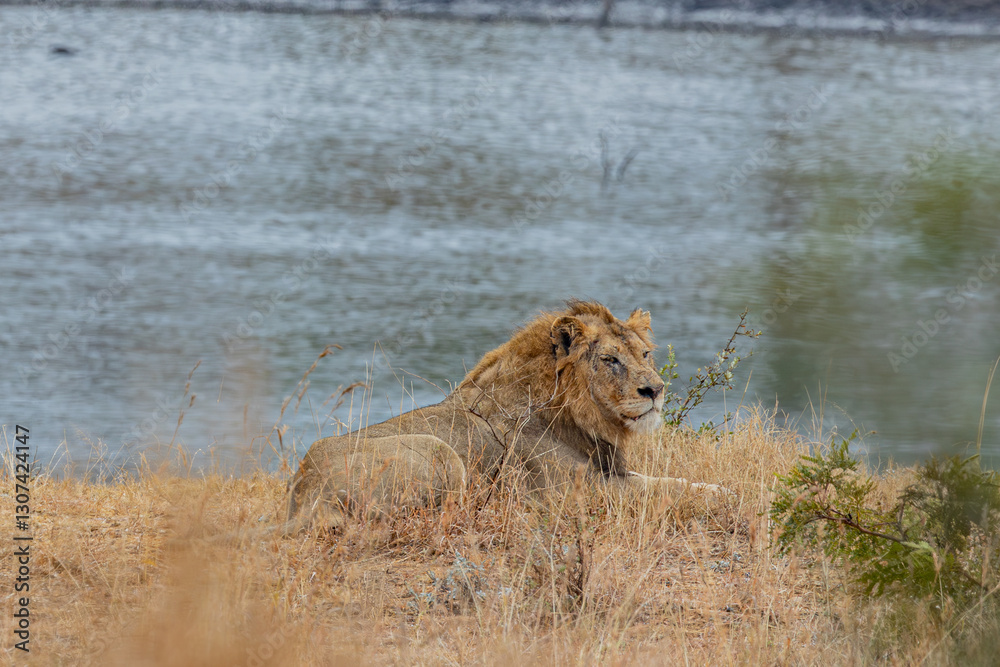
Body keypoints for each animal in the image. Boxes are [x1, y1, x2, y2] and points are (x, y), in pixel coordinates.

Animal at [287, 300, 729, 528]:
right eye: (609, 359)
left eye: (646, 354)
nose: (655, 390)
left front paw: (716, 488)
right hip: (438, 452)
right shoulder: (582, 491)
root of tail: (304, 492)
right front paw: (723, 494)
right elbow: (666, 489)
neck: (576, 414)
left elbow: (669, 480)